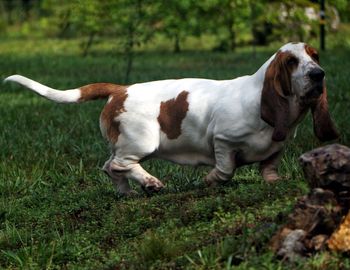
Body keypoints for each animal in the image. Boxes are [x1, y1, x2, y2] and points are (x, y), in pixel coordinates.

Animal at [4, 41, 340, 194]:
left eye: (315, 56)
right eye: (292, 62)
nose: (319, 74)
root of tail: (120, 89)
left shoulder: (277, 148)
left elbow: (269, 166)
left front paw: (273, 180)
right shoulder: (222, 140)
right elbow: (225, 168)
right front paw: (210, 180)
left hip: (126, 143)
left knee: (110, 167)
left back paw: (126, 193)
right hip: (142, 142)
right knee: (119, 164)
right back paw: (151, 183)